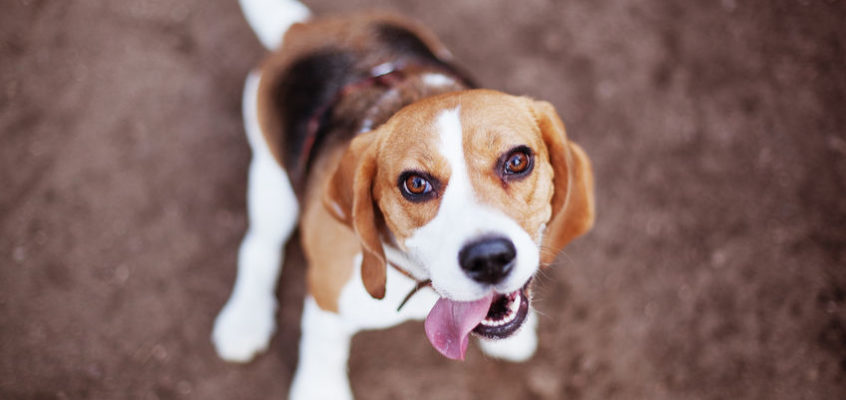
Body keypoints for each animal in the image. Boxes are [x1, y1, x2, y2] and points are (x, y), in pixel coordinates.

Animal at [212, 0, 596, 396]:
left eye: (517, 161)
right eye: (415, 184)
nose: (489, 259)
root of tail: (302, 31)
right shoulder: (327, 295)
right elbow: (323, 348)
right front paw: (319, 390)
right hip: (270, 177)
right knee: (259, 246)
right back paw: (244, 321)